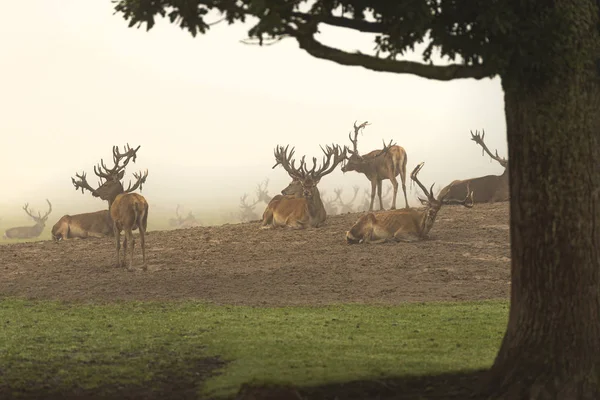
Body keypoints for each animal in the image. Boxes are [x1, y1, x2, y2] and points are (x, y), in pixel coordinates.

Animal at [344, 162, 476, 244]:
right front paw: (395, 239)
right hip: (368, 225)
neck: (420, 227)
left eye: (438, 207)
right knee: (365, 240)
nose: (431, 213)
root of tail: (349, 232)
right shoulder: (401, 231)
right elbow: (416, 239)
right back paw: (388, 239)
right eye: (429, 205)